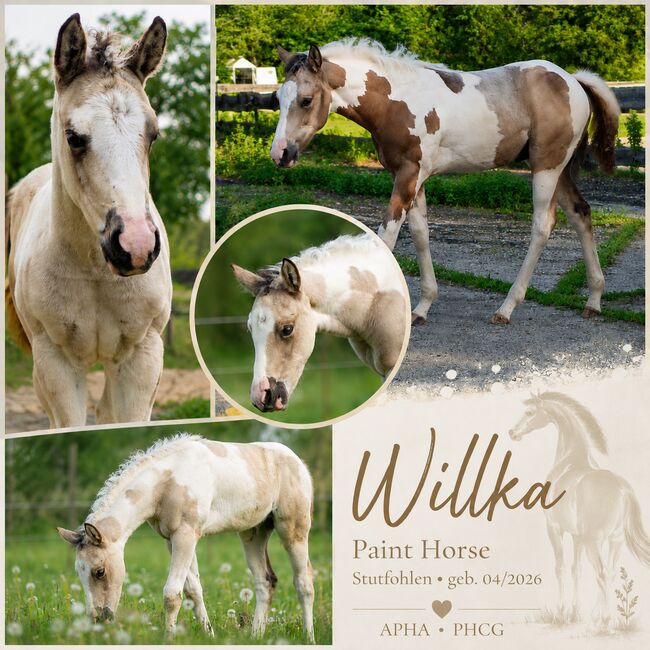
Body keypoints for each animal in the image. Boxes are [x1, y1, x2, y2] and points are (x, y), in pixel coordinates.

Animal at [5, 14, 172, 428]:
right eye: (74, 137)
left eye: (153, 135)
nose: (136, 246)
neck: (96, 273)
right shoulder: (55, 362)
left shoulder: (143, 356)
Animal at [57, 434, 315, 641]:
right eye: (78, 572)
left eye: (99, 572)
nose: (98, 620)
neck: (168, 481)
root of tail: (298, 462)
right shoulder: (172, 539)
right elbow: (192, 590)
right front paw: (208, 634)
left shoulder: (186, 535)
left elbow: (172, 594)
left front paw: (169, 639)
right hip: (253, 533)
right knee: (265, 582)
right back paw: (255, 636)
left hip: (293, 530)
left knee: (304, 583)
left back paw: (309, 637)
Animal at [270, 39, 620, 325]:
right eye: (277, 98)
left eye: (305, 100)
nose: (280, 154)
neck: (396, 100)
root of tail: (573, 80)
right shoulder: (412, 177)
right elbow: (420, 233)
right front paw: (422, 308)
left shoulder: (409, 174)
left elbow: (387, 235)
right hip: (558, 171)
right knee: (581, 213)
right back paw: (594, 300)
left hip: (546, 167)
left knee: (542, 226)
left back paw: (506, 308)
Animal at [509, 392, 650, 626]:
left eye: (529, 412)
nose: (512, 432)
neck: (570, 462)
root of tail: (622, 489)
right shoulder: (577, 536)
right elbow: (577, 569)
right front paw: (574, 612)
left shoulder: (555, 528)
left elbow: (560, 568)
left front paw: (561, 611)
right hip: (615, 540)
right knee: (609, 573)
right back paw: (599, 616)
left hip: (595, 541)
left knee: (601, 573)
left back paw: (604, 619)